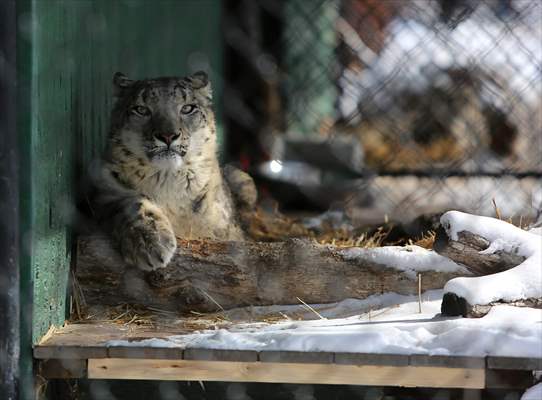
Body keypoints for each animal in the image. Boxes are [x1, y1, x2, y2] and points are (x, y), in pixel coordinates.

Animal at [92, 72, 258, 272]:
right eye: (141, 109)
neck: (167, 181)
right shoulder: (105, 185)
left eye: (188, 108)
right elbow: (134, 203)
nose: (167, 135)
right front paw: (150, 244)